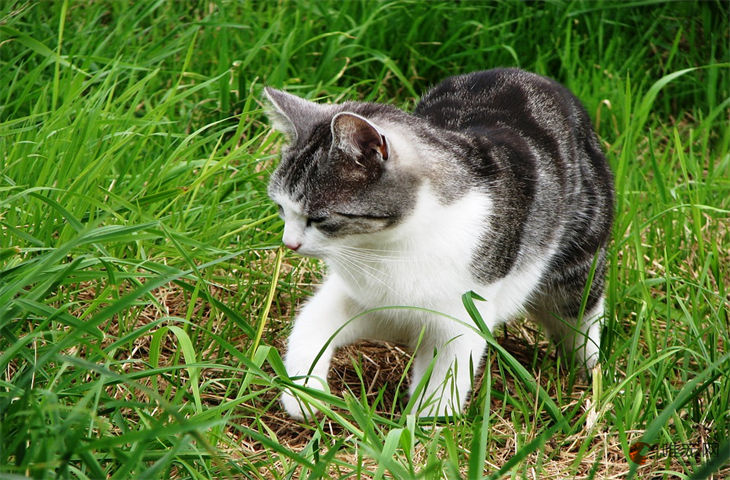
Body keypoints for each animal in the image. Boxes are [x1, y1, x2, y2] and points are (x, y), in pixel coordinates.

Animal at [264, 68, 612, 420]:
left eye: (318, 219)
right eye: (280, 208)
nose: (289, 243)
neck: (391, 245)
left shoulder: (462, 314)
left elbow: (446, 379)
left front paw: (426, 426)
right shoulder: (370, 298)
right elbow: (311, 323)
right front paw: (303, 393)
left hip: (579, 261)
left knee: (580, 316)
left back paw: (588, 374)